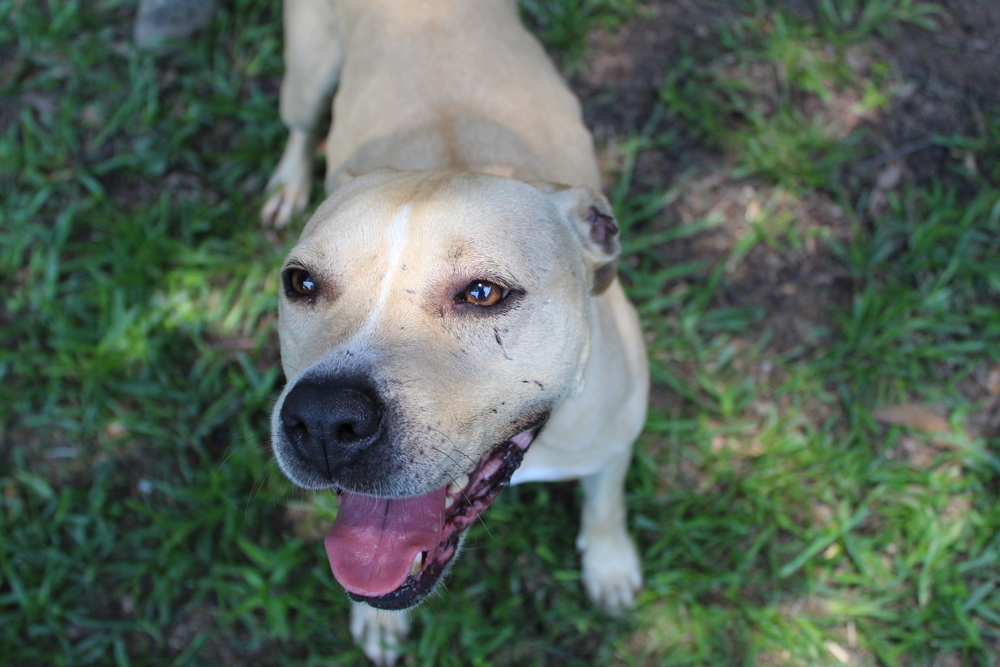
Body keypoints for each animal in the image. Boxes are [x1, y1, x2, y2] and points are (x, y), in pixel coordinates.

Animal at [262, 2, 648, 664]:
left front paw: (610, 565)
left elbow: (605, 505)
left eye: (484, 294)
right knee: (300, 126)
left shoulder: (614, 439)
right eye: (301, 283)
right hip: (308, 74)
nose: (323, 419)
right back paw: (289, 180)